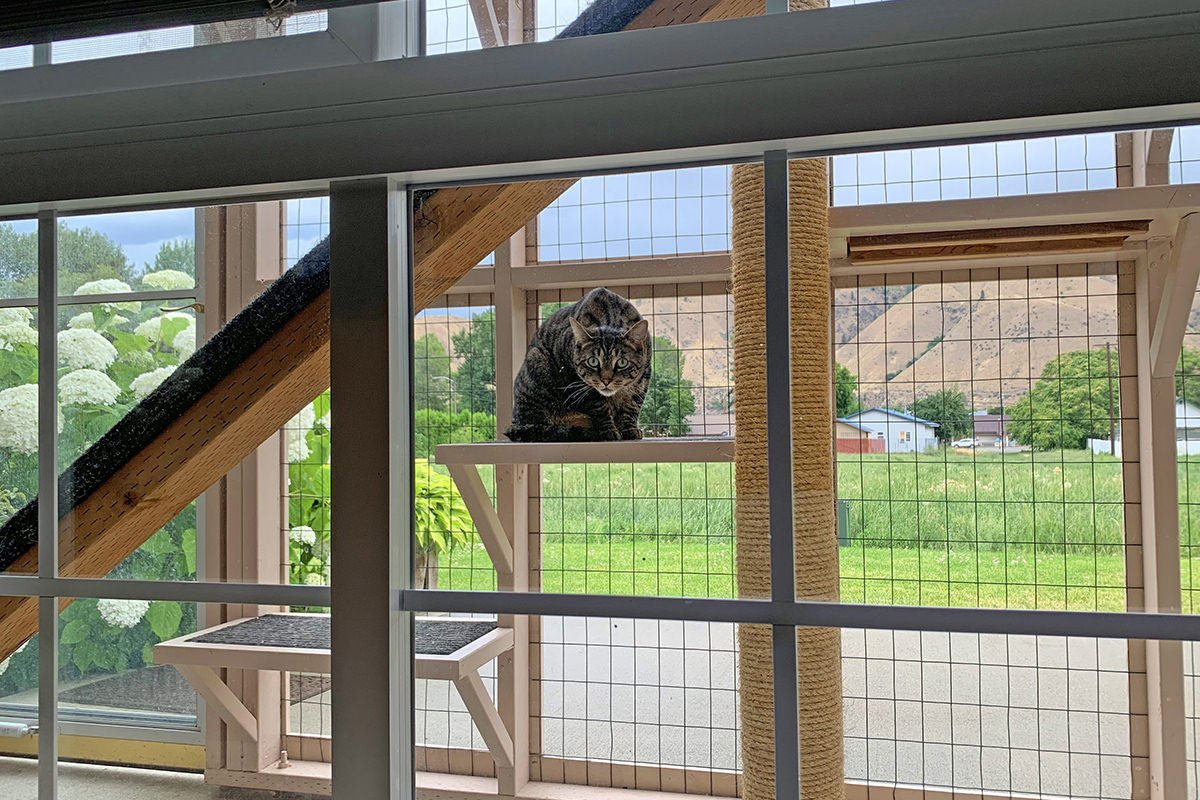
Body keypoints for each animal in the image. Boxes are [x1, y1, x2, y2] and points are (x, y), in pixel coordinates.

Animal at [508, 286, 657, 441]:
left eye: (622, 362)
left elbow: (633, 406)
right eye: (593, 361)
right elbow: (599, 408)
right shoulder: (576, 378)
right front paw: (608, 429)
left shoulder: (643, 378)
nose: (606, 380)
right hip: (537, 362)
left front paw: (630, 429)